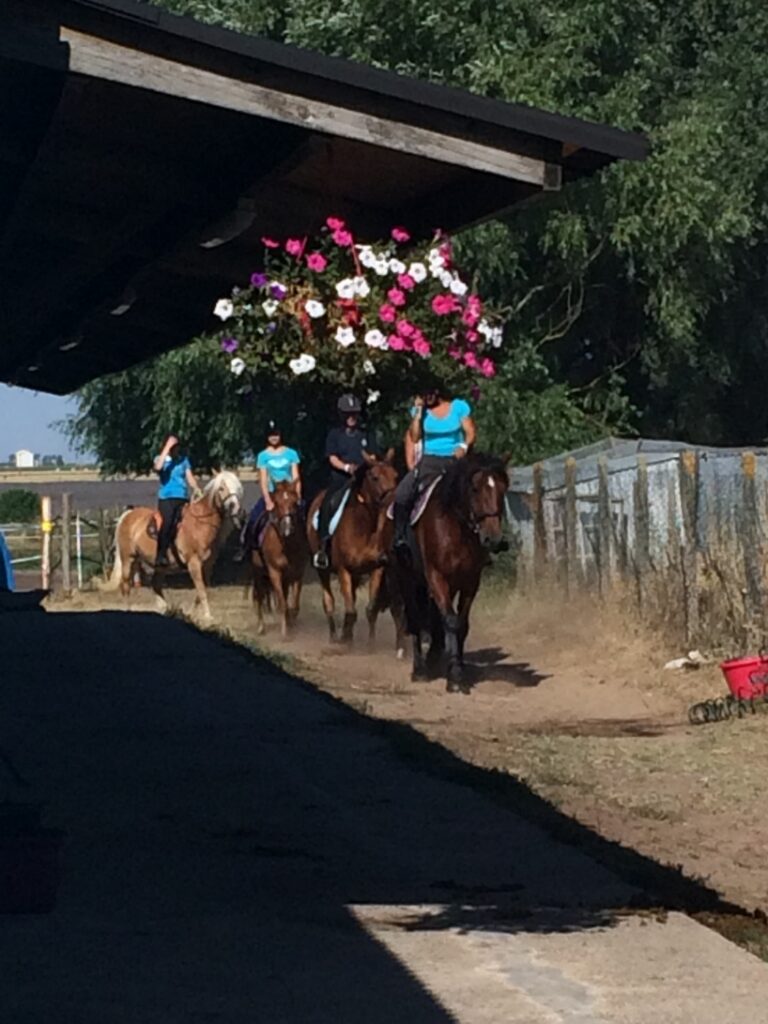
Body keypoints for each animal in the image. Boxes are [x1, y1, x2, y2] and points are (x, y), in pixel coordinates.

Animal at [99, 468, 243, 618]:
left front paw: (191, 614)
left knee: (155, 584)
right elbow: (202, 590)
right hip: (128, 559)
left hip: (158, 565)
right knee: (126, 585)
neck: (200, 524)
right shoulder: (194, 563)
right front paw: (208, 616)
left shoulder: (208, 566)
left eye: (238, 487)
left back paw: (165, 608)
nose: (235, 507)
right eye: (221, 488)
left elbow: (201, 591)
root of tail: (128, 514)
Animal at [250, 481, 309, 638]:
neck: (286, 545)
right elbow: (282, 603)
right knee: (259, 596)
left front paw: (291, 623)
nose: (287, 528)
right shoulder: (274, 572)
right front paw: (284, 633)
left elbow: (294, 604)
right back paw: (261, 627)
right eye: (276, 503)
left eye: (294, 502)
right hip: (258, 573)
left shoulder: (297, 573)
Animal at [307, 450, 405, 643]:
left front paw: (370, 643)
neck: (363, 525)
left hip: (356, 574)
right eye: (374, 477)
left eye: (395, 475)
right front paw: (345, 640)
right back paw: (334, 636)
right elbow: (351, 611)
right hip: (323, 570)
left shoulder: (377, 568)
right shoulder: (343, 569)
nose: (393, 499)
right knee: (328, 602)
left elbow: (371, 609)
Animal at [397, 452, 512, 692]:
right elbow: (450, 621)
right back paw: (419, 669)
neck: (456, 526)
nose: (493, 539)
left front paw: (456, 668)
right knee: (415, 618)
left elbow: (461, 624)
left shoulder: (470, 581)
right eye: (475, 489)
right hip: (406, 577)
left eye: (503, 488)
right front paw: (455, 678)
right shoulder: (437, 577)